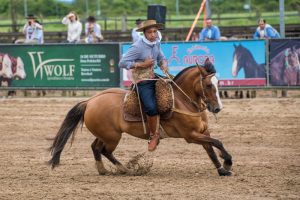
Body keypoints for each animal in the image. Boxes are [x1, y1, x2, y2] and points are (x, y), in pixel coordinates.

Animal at [48, 65, 233, 176]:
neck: (183, 100)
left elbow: (211, 148)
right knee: (104, 150)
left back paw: (104, 170)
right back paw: (124, 169)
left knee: (95, 147)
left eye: (219, 83)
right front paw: (228, 163)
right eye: (208, 85)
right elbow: (217, 142)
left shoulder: (203, 132)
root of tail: (90, 101)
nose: (217, 108)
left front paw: (222, 169)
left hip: (105, 134)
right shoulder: (191, 136)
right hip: (113, 137)